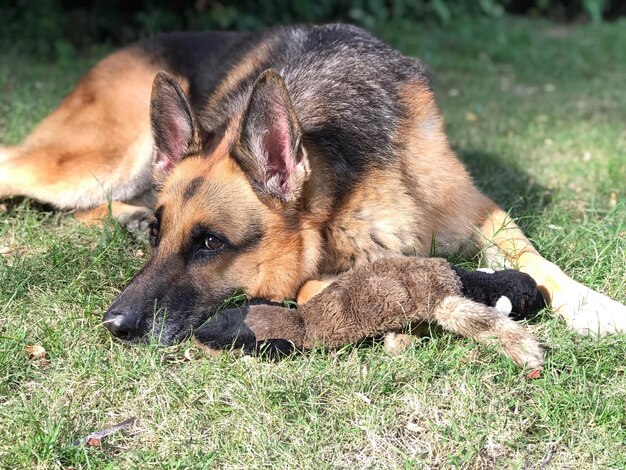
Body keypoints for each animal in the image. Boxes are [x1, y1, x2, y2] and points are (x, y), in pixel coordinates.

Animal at [0, 25, 620, 344]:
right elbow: (322, 286)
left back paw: (125, 217)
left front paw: (596, 306)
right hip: (101, 157)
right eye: (162, 237)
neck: (352, 174)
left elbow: (535, 259)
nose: (114, 325)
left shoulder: (476, 209)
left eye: (209, 244)